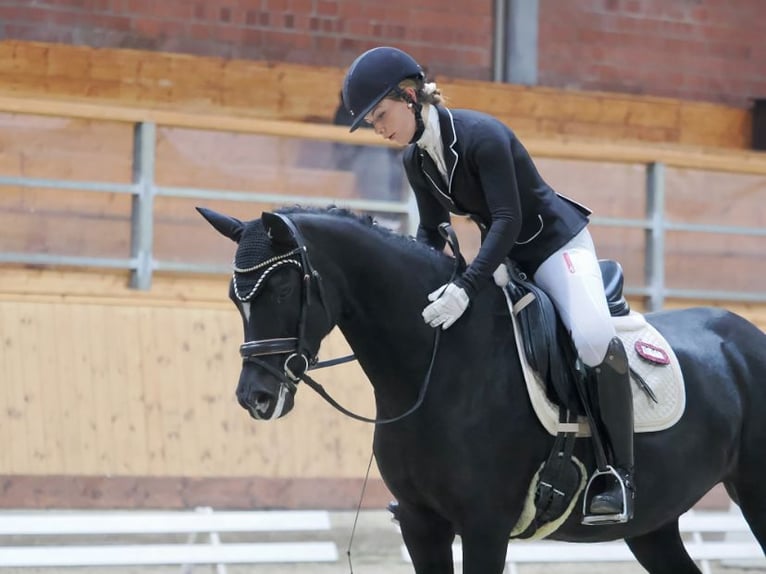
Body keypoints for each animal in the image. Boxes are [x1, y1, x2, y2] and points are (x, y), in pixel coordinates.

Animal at [200, 205, 766, 572]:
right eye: (234, 296)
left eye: (281, 288)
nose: (256, 398)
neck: (437, 365)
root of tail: (745, 335)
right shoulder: (421, 524)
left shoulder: (484, 527)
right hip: (652, 525)